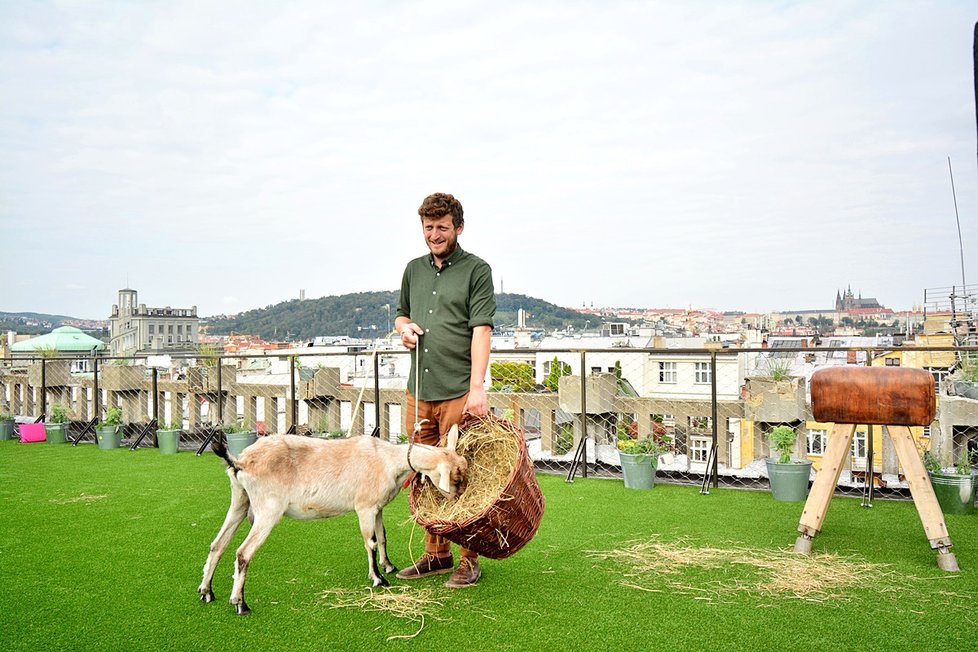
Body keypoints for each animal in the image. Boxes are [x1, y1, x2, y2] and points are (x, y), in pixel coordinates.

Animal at [197, 428, 466, 616]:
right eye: (455, 477)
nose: (457, 497)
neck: (387, 460)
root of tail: (241, 462)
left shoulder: (377, 508)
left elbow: (382, 536)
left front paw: (388, 566)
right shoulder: (364, 506)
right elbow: (370, 542)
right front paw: (378, 578)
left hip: (240, 501)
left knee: (217, 545)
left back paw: (206, 592)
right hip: (268, 509)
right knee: (243, 553)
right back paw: (240, 603)